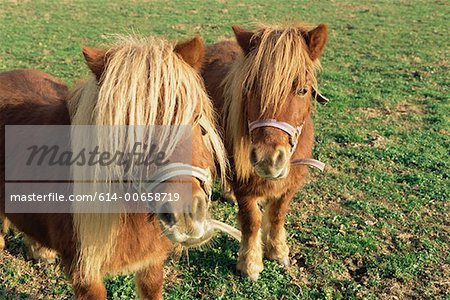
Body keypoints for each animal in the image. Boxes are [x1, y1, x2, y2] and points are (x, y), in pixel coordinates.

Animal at [202, 23, 328, 282]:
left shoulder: (290, 185)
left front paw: (278, 251)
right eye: (249, 87)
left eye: (303, 90)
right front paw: (250, 263)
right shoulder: (244, 186)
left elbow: (278, 214)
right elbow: (252, 221)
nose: (268, 159)